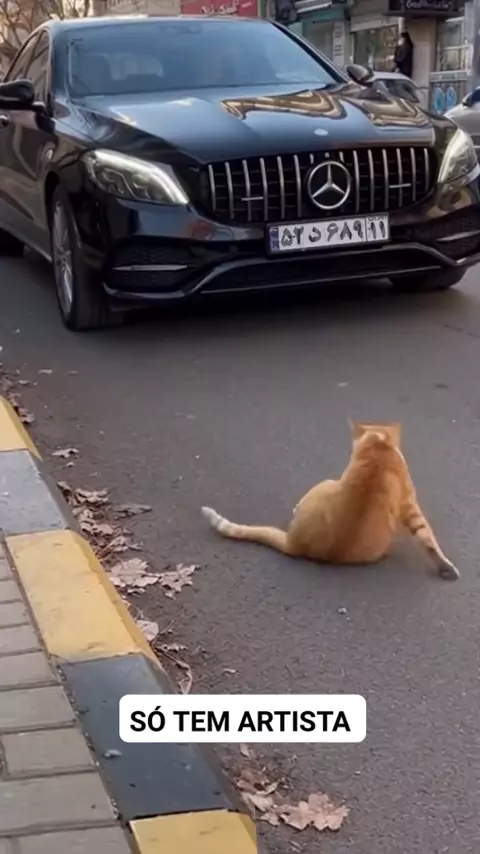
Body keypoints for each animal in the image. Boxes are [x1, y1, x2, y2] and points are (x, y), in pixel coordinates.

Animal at [201, 420, 459, 580]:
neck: (378, 445)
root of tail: (293, 544)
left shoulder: (408, 503)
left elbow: (426, 537)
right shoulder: (409, 502)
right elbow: (426, 536)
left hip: (323, 483)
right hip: (325, 482)